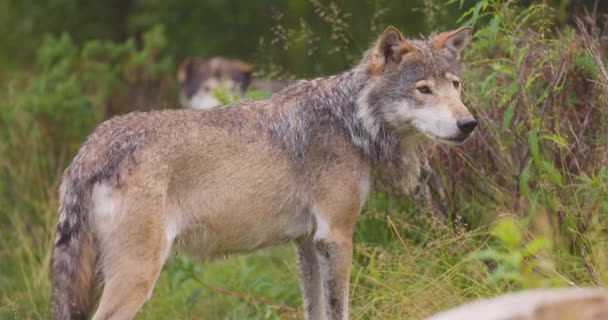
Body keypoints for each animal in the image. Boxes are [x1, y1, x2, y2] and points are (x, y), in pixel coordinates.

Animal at [51, 25, 476, 320]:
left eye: (455, 86)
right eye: (423, 89)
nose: (469, 124)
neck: (351, 120)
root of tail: (90, 148)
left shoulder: (308, 243)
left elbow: (315, 310)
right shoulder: (336, 237)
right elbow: (339, 309)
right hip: (137, 277)